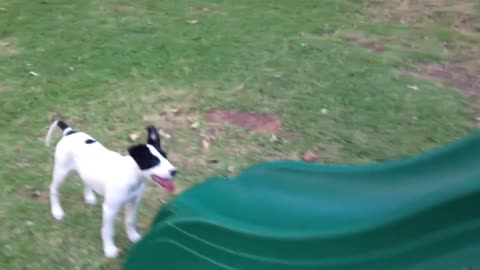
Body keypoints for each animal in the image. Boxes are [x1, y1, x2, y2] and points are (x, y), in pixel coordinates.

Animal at [44, 120, 176, 258]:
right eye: (154, 161)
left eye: (165, 156)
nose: (174, 171)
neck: (131, 175)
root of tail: (69, 132)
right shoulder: (110, 209)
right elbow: (108, 231)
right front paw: (109, 249)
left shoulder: (133, 202)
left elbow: (130, 220)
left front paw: (133, 236)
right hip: (61, 171)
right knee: (53, 189)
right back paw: (57, 211)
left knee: (85, 180)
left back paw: (89, 197)